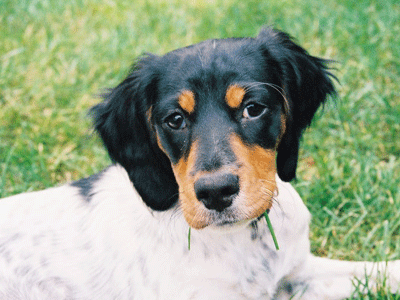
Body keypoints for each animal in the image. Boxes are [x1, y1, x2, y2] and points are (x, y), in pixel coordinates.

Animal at [0, 27, 400, 298]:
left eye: (253, 108)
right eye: (175, 119)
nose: (216, 192)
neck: (241, 239)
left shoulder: (295, 274)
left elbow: (375, 271)